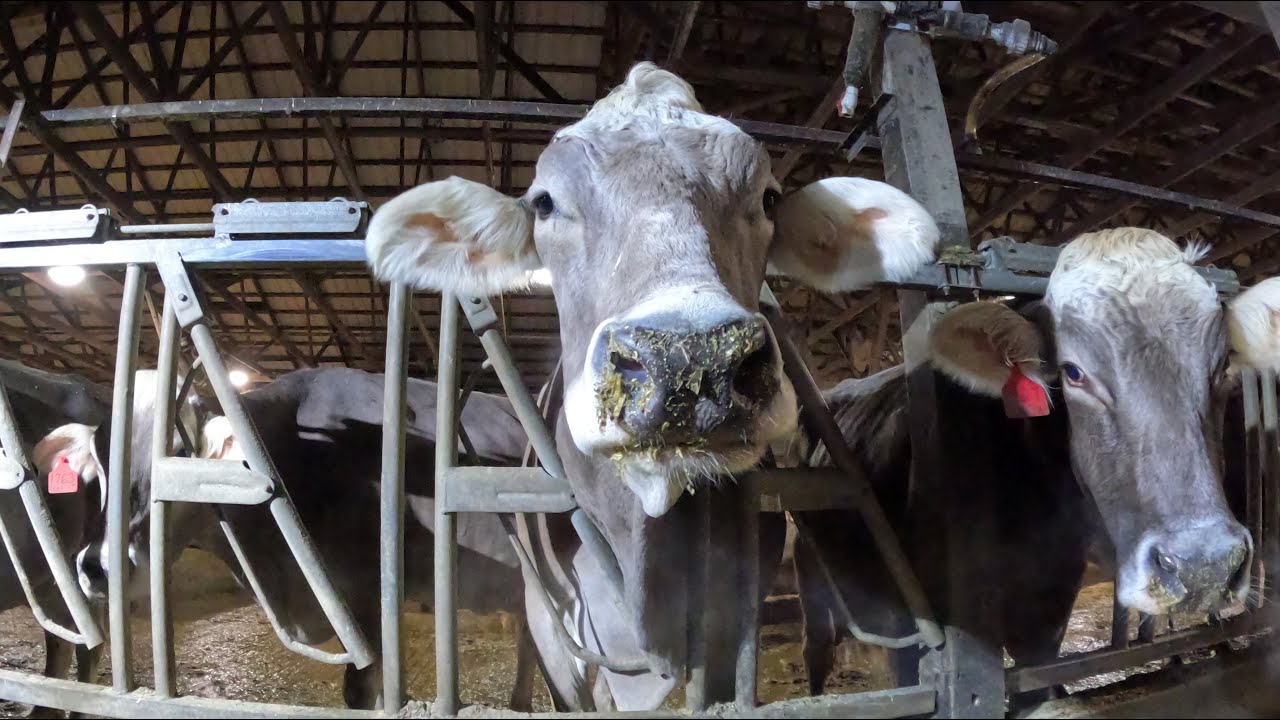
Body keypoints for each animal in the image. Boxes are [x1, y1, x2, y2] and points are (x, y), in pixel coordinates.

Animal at [792, 228, 1264, 703]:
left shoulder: (1046, 617)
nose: (1205, 564)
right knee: (816, 648)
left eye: (1223, 365)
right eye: (1072, 373)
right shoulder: (913, 628)